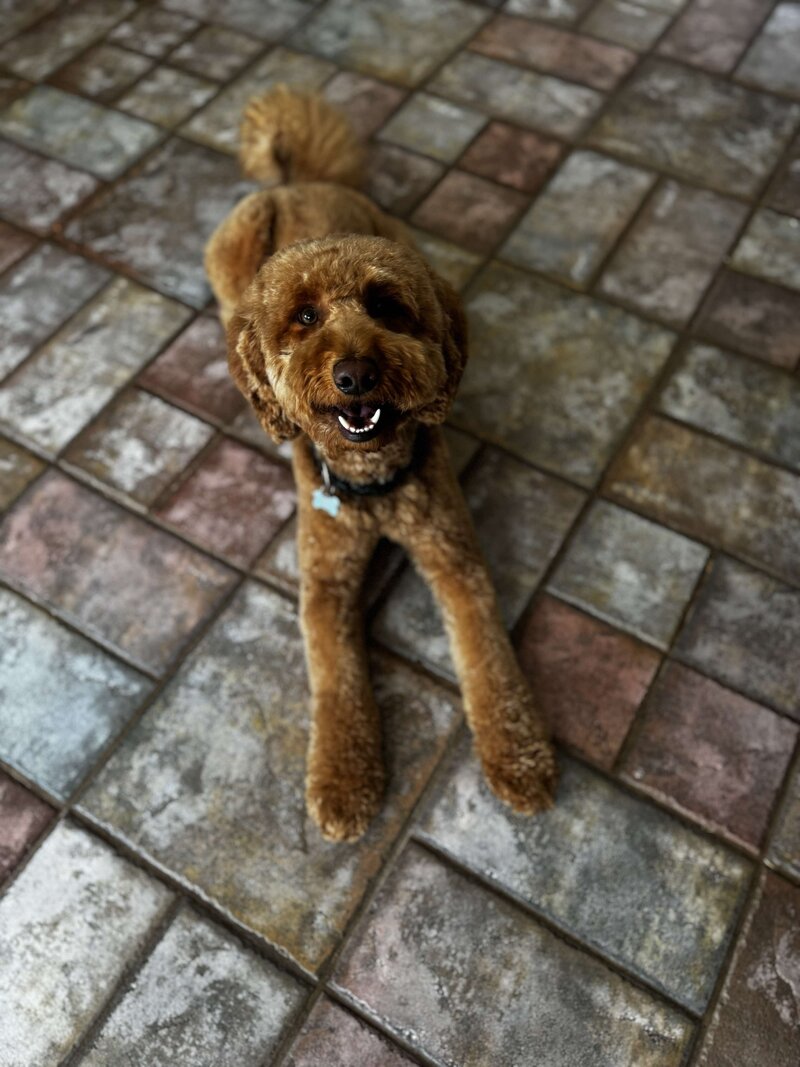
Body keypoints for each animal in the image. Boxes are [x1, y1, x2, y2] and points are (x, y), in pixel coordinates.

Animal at [206, 85, 558, 840]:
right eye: (304, 317)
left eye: (387, 306)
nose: (355, 375)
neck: (371, 483)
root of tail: (298, 181)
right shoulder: (324, 581)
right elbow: (334, 676)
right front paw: (342, 781)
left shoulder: (455, 557)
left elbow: (489, 654)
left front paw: (518, 756)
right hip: (229, 249)